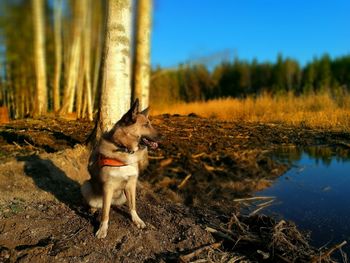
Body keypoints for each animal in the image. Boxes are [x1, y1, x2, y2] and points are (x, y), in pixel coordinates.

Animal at [80, 99, 159, 239]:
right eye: (146, 125)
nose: (161, 137)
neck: (124, 149)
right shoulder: (108, 186)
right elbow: (105, 213)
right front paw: (102, 229)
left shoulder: (131, 185)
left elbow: (132, 206)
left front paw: (137, 220)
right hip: (86, 186)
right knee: (96, 204)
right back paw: (92, 209)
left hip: (122, 194)